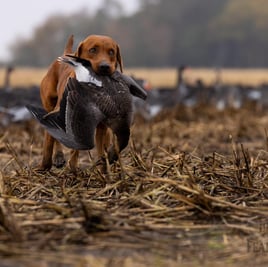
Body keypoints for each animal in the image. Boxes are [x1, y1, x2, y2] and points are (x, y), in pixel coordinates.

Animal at [39, 34, 123, 172]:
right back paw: (58, 156)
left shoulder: (101, 126)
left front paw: (103, 170)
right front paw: (44, 167)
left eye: (111, 52)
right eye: (93, 50)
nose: (105, 66)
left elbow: (100, 150)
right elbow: (48, 145)